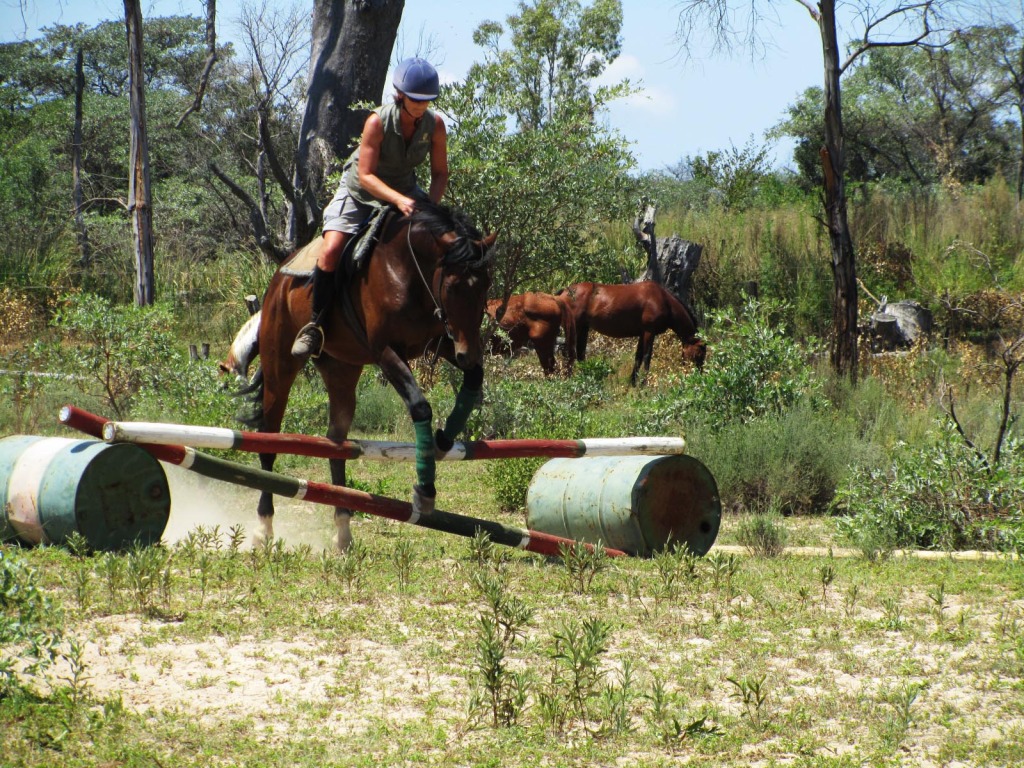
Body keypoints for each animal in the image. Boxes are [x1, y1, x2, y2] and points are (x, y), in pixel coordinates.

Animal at [241, 202, 493, 552]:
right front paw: (425, 490)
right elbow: (420, 405)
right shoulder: (385, 350)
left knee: (336, 445)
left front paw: (443, 440)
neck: (407, 270)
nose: (467, 353)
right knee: (269, 439)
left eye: (486, 285)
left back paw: (343, 530)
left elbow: (474, 378)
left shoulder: (440, 342)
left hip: (342, 371)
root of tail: (277, 278)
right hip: (280, 365)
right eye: (454, 286)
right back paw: (264, 528)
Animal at [552, 280, 704, 387]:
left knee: (580, 353)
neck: (663, 300)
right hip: (576, 327)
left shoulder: (643, 333)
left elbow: (638, 357)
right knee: (569, 352)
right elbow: (647, 357)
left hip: (584, 328)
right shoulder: (649, 332)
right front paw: (644, 383)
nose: (700, 376)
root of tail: (564, 292)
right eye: (700, 352)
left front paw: (633, 382)